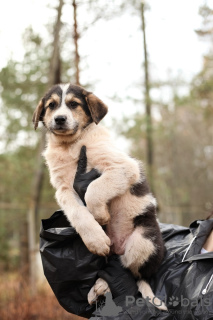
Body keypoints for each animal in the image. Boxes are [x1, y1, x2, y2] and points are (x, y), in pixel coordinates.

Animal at [32, 83, 166, 310]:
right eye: (51, 106)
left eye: (73, 104)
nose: (59, 119)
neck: (70, 145)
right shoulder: (64, 190)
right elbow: (79, 214)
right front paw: (96, 240)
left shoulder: (123, 168)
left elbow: (94, 189)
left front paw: (101, 215)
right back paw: (99, 286)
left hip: (144, 241)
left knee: (133, 272)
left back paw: (105, 284)